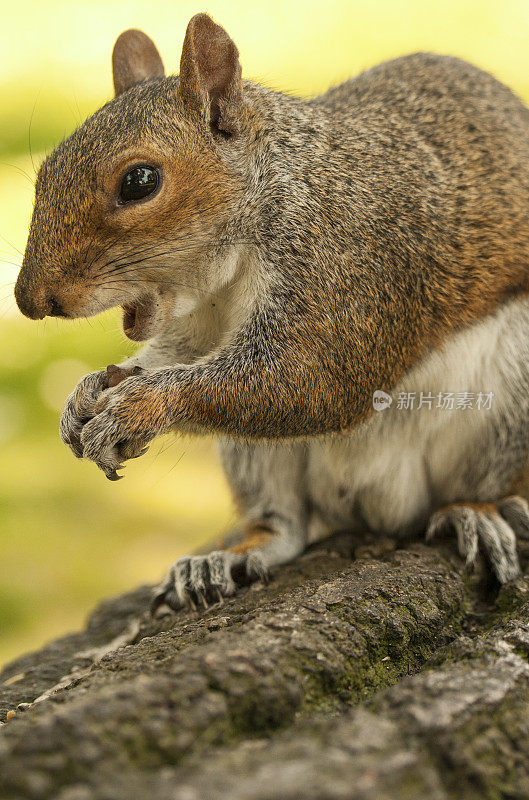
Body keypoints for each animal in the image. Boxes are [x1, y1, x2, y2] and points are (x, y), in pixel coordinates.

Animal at [13, 12, 529, 608]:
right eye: (47, 169)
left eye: (140, 180)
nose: (29, 300)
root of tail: (376, 509)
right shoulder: (196, 325)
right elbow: (172, 356)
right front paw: (86, 393)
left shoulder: (347, 266)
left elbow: (307, 378)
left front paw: (137, 406)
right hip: (255, 458)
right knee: (284, 525)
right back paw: (229, 556)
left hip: (506, 402)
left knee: (480, 483)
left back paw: (474, 512)